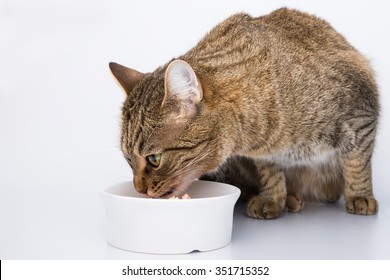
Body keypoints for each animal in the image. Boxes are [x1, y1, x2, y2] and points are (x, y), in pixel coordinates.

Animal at [109, 7, 378, 219]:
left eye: (154, 159)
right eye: (128, 159)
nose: (138, 189)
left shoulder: (361, 116)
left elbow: (358, 163)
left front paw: (360, 195)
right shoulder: (264, 154)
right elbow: (270, 173)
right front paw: (273, 198)